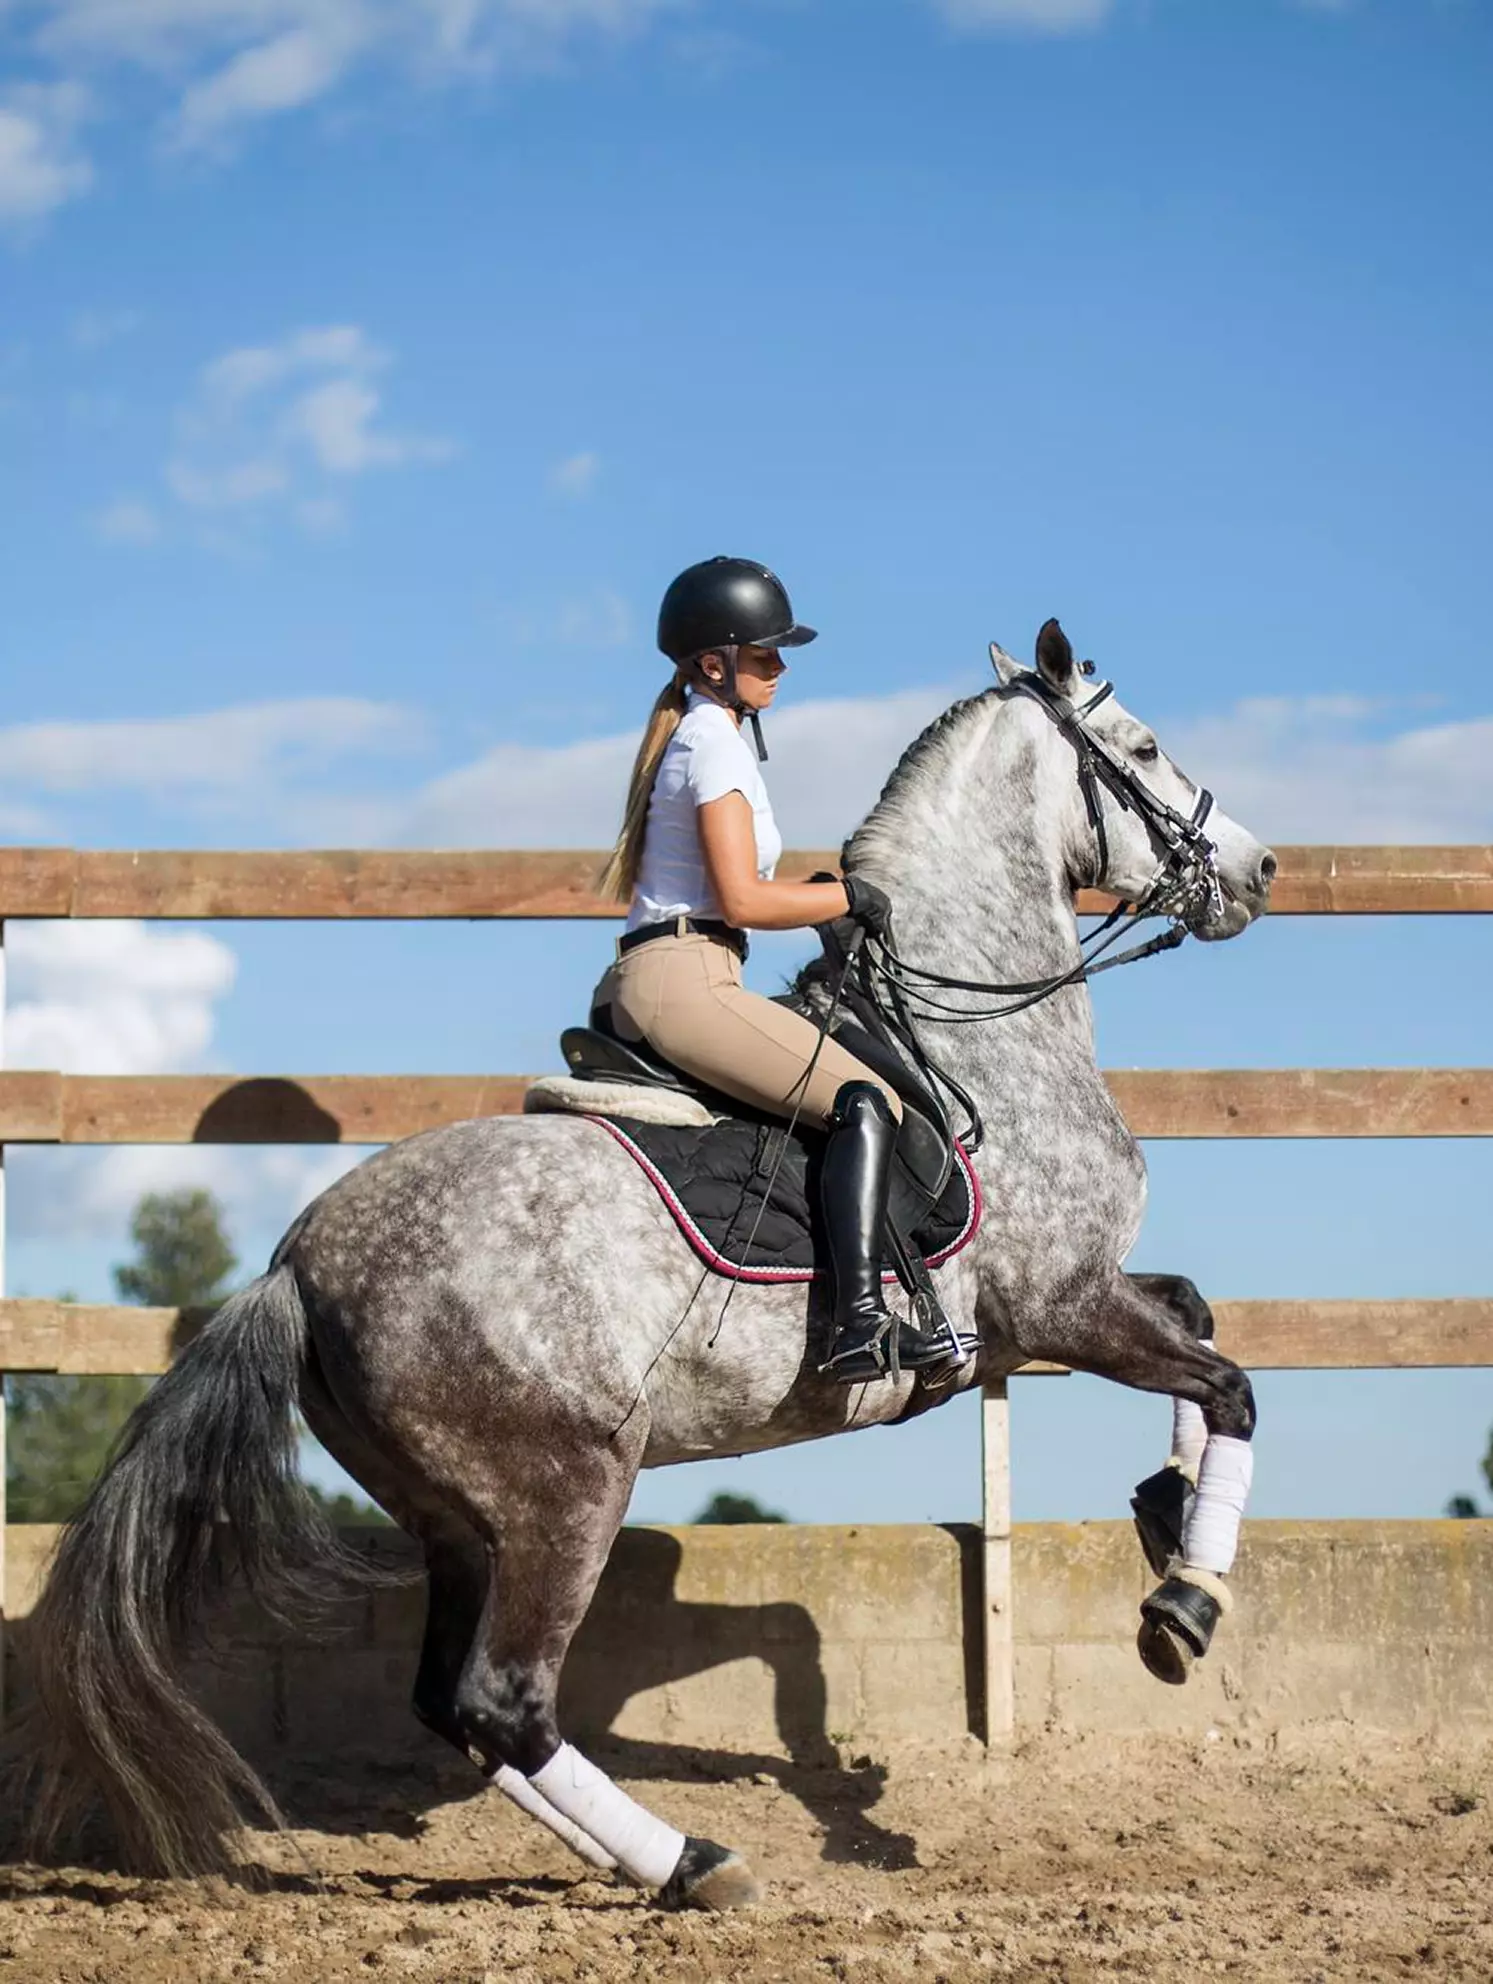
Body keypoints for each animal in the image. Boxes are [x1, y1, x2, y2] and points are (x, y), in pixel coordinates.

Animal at [16, 619, 1274, 1909]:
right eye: (1143, 747)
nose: (1255, 870)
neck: (969, 1039)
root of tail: (298, 1264)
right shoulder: (1058, 1303)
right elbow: (1229, 1383)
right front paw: (1182, 1604)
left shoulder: (1065, 1308)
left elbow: (1198, 1316)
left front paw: (1165, 1519)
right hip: (566, 1486)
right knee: (503, 1699)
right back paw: (698, 1863)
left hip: (456, 1518)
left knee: (453, 1702)